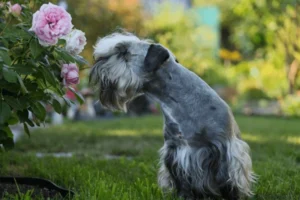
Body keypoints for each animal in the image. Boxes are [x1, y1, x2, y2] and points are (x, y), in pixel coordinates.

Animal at [88, 32, 255, 199]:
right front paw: (183, 195)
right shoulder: (174, 149)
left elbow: (226, 179)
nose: (97, 62)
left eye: (123, 52)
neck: (179, 102)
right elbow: (180, 179)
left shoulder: (224, 147)